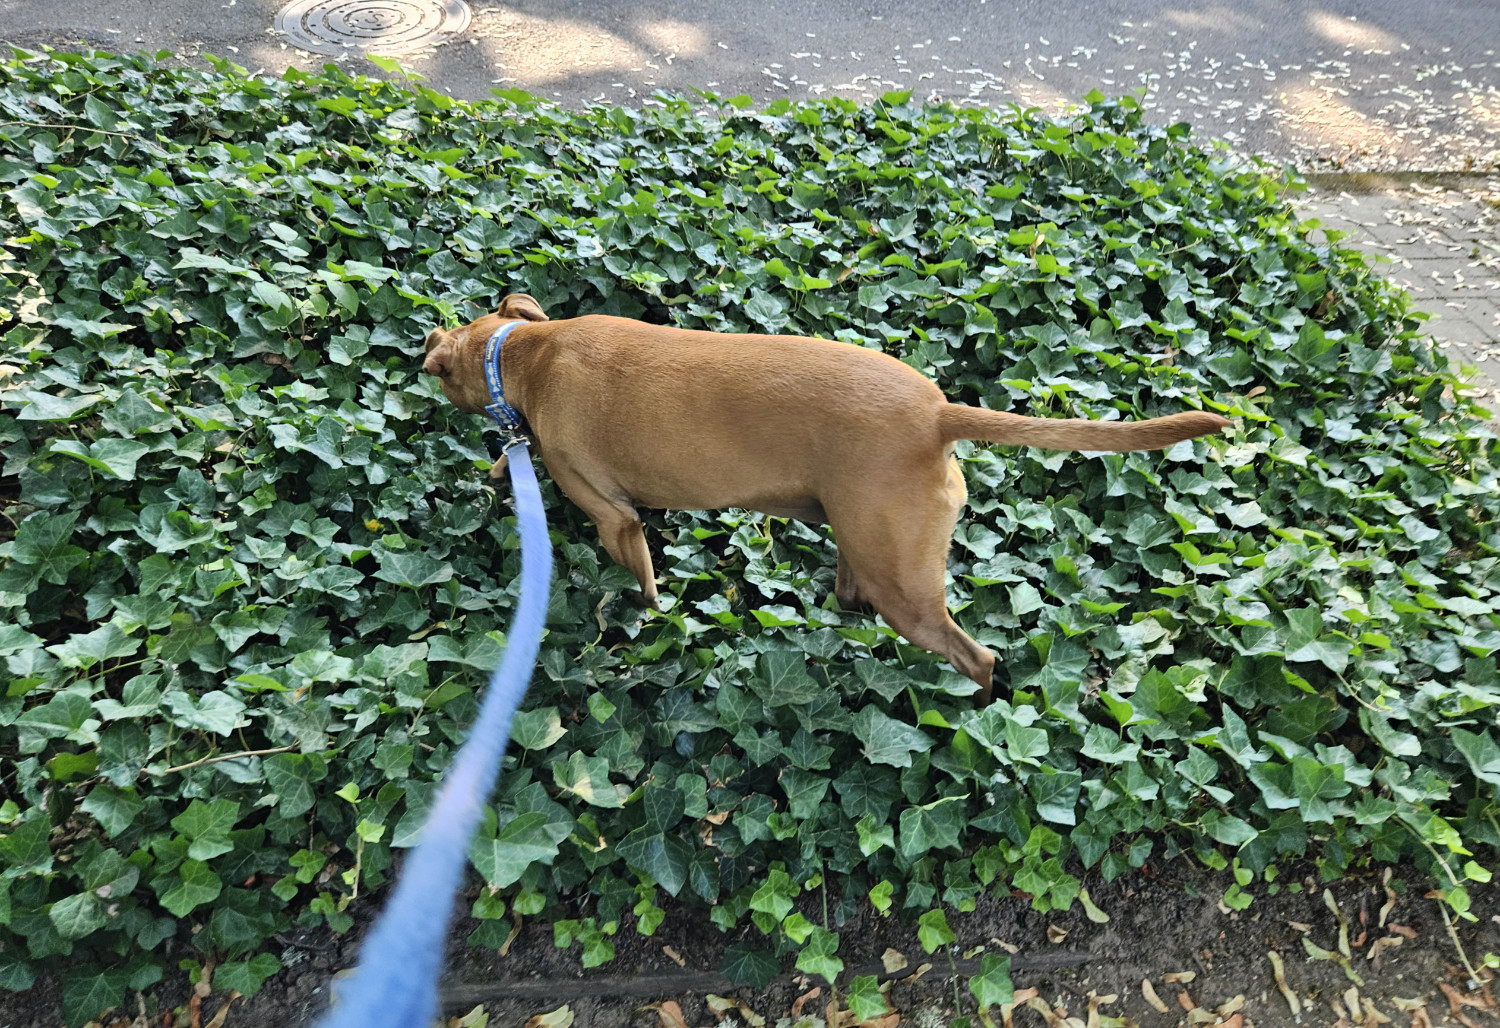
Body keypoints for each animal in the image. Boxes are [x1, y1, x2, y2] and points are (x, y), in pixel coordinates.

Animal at [426, 292, 1230, 702]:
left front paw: (642, 625)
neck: (522, 352)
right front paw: (494, 472)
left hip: (901, 581)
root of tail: (937, 413)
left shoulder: (612, 516)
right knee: (853, 596)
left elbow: (644, 583)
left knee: (976, 657)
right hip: (862, 535)